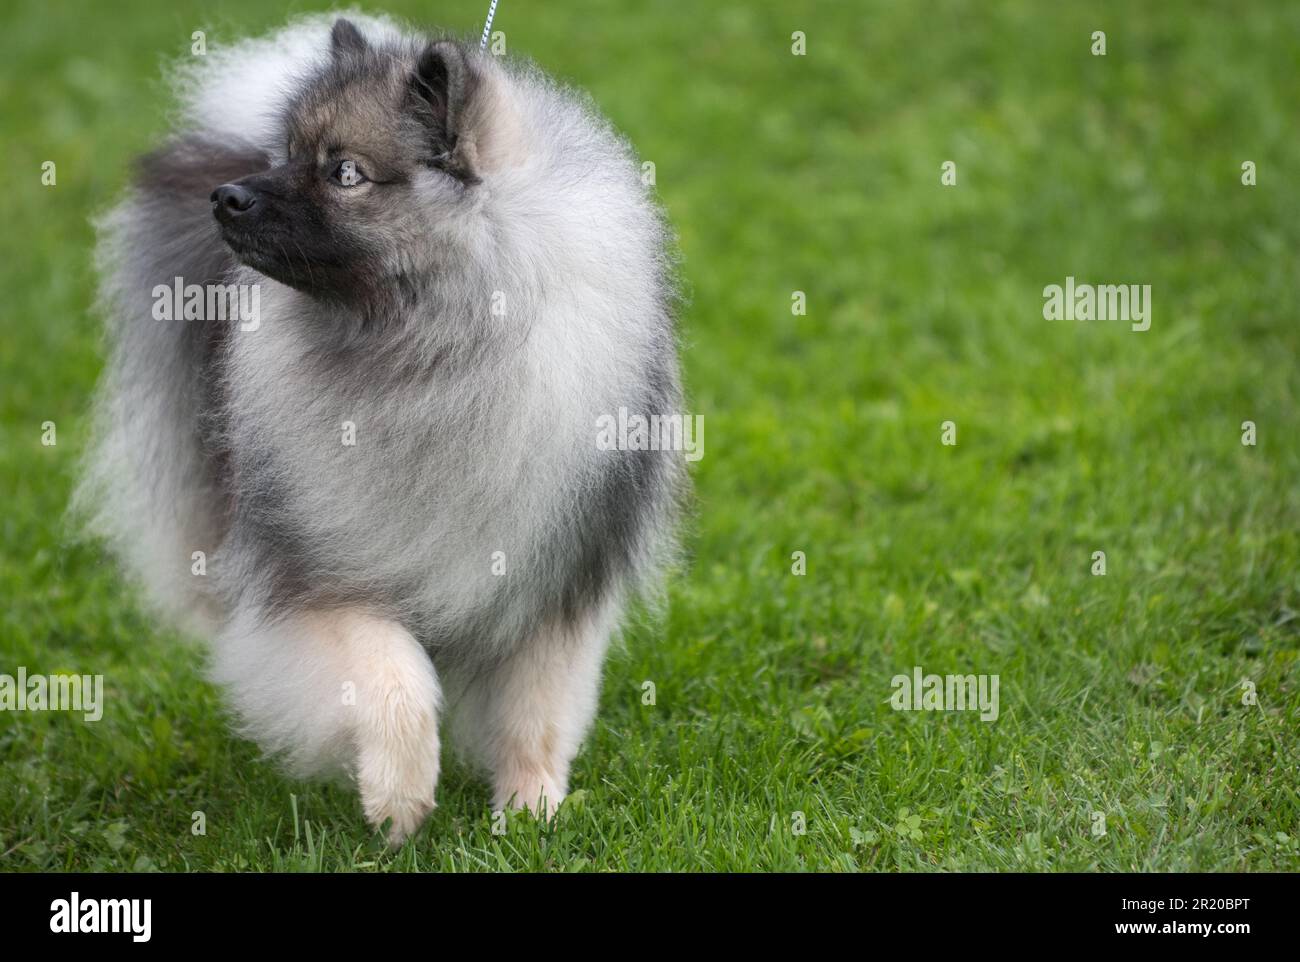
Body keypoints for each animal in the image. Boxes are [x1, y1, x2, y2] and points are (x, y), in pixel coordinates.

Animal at [78, 15, 691, 842]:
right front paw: (399, 798)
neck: (436, 356)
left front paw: (531, 805)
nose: (228, 195)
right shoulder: (320, 585)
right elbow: (394, 679)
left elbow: (536, 709)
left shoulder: (554, 584)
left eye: (345, 174)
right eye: (286, 154)